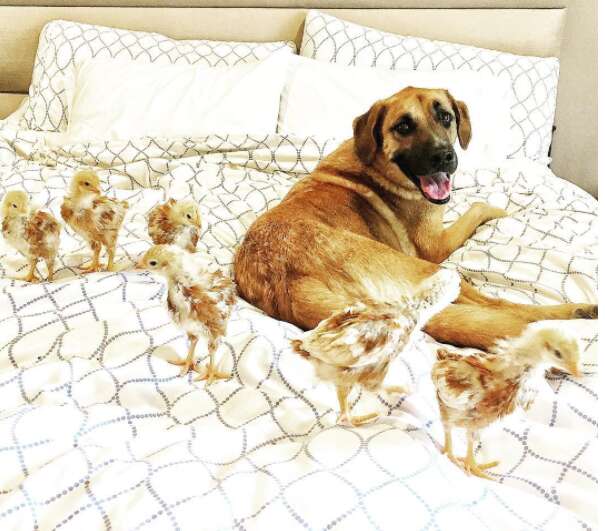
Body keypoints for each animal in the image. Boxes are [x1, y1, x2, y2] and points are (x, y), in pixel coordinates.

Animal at [234, 87, 596, 352]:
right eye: (404, 126)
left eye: (446, 117)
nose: (445, 157)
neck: (377, 163)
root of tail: (291, 284)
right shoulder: (435, 246)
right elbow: (479, 206)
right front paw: (501, 208)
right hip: (436, 272)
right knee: (511, 309)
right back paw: (578, 312)